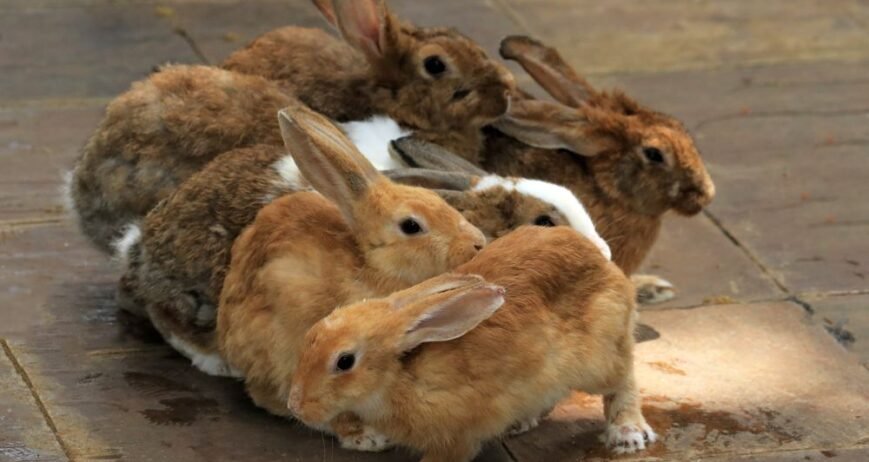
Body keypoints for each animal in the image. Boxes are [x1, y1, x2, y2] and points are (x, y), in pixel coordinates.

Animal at [288, 225, 656, 462]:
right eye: (309, 339)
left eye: (344, 361)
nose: (296, 407)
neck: (402, 376)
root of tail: (604, 263)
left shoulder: (457, 437)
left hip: (600, 357)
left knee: (623, 382)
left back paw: (628, 434)